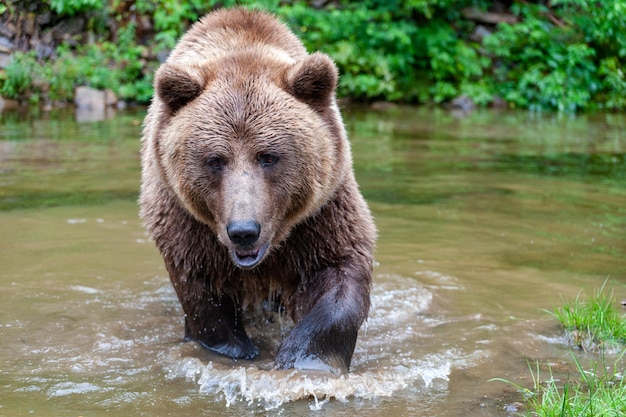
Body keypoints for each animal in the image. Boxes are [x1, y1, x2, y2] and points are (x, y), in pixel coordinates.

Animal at [140, 7, 376, 374]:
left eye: (268, 156)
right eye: (215, 159)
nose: (243, 231)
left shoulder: (321, 215)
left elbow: (339, 274)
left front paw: (304, 357)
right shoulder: (184, 223)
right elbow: (203, 299)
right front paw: (236, 348)